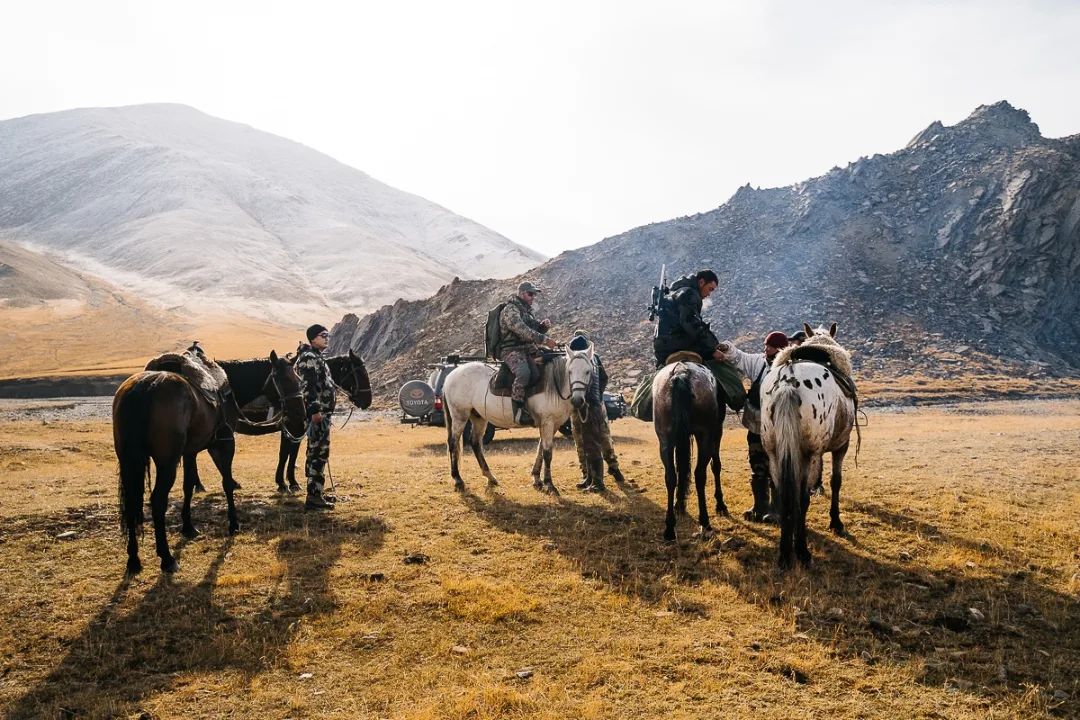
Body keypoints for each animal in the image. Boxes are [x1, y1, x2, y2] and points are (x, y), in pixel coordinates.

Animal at [114, 349, 306, 574]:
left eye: (299, 379)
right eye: (284, 380)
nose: (300, 415)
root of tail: (144, 387)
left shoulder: (190, 452)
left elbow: (189, 485)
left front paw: (188, 527)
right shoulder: (224, 442)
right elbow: (227, 483)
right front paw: (233, 524)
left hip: (129, 460)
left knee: (131, 501)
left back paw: (134, 559)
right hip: (166, 462)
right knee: (158, 500)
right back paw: (167, 558)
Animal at [438, 345, 596, 492]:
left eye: (588, 371)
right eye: (570, 371)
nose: (578, 400)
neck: (554, 385)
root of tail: (450, 376)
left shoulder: (553, 424)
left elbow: (540, 450)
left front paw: (537, 479)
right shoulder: (548, 422)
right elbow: (547, 453)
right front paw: (549, 484)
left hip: (478, 417)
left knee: (475, 442)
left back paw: (490, 477)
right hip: (460, 416)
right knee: (453, 443)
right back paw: (458, 479)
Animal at [648, 360, 725, 539]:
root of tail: (681, 373)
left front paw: (679, 504)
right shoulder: (717, 431)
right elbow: (716, 466)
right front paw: (720, 504)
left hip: (665, 437)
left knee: (670, 477)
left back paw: (670, 528)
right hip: (704, 434)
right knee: (700, 475)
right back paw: (705, 522)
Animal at [756, 321, 855, 569]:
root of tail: (787, 381)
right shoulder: (841, 445)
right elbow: (836, 481)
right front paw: (836, 522)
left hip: (775, 453)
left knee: (784, 494)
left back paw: (784, 553)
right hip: (807, 454)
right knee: (801, 498)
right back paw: (801, 550)